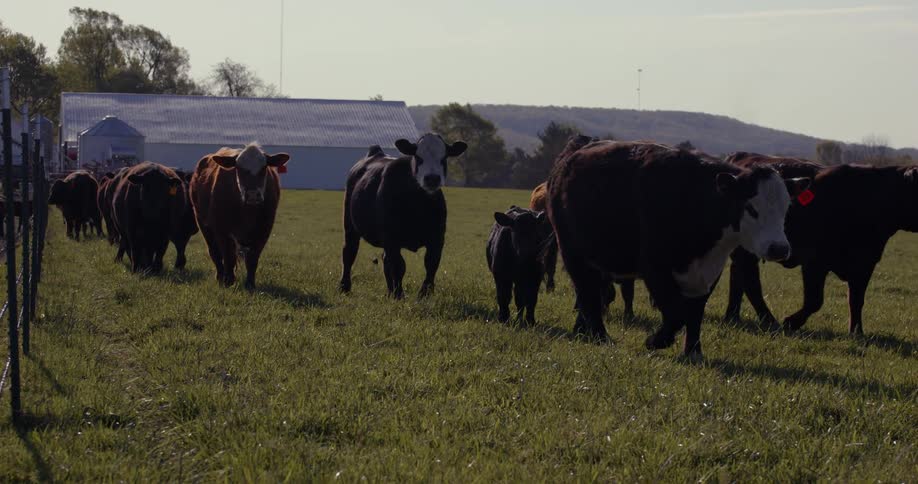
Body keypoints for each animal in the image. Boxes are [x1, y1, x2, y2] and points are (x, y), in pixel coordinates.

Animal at [190, 143, 288, 289]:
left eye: (264, 167)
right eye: (239, 168)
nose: (252, 194)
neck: (247, 211)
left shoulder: (264, 230)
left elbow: (252, 258)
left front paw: (250, 284)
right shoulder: (222, 230)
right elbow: (228, 256)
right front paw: (228, 281)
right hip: (203, 224)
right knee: (215, 253)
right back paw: (220, 276)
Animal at [339, 134, 467, 299]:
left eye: (444, 157)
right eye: (418, 157)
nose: (432, 178)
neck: (418, 206)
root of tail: (376, 153)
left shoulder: (437, 238)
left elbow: (431, 263)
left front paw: (425, 294)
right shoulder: (392, 238)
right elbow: (399, 266)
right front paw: (399, 294)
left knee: (385, 260)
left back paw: (389, 290)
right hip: (350, 225)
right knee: (349, 252)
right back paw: (345, 287)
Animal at [547, 140, 810, 359]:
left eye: (787, 207)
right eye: (751, 208)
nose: (779, 248)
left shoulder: (708, 272)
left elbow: (694, 314)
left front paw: (693, 352)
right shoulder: (655, 268)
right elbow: (675, 314)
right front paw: (656, 340)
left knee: (591, 293)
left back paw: (583, 331)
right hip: (573, 254)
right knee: (588, 293)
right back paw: (601, 337)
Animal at [725, 154, 918, 336]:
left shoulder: (865, 264)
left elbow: (856, 300)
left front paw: (857, 331)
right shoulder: (814, 262)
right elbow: (815, 300)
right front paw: (791, 322)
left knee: (738, 277)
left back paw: (732, 317)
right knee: (750, 282)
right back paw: (768, 321)